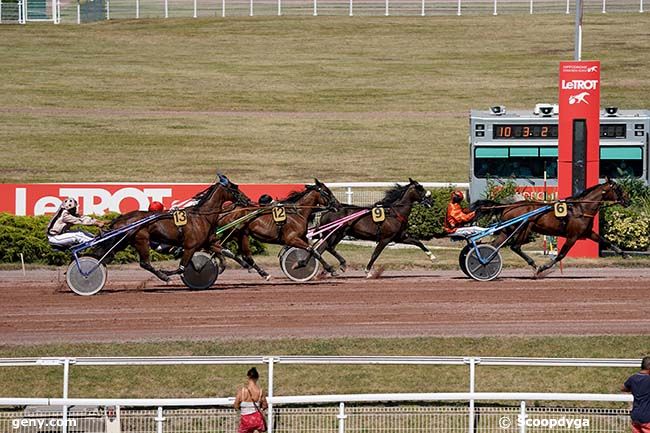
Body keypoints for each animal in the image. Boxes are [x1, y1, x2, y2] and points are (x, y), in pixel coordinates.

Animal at [96, 174, 246, 282]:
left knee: (107, 254)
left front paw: (244, 264)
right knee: (144, 263)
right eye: (235, 188)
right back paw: (163, 277)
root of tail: (120, 218)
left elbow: (227, 253)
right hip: (141, 240)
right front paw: (167, 273)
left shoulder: (208, 242)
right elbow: (181, 268)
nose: (247, 199)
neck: (202, 216)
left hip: (123, 242)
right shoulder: (190, 246)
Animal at [470, 178, 628, 274]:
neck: (581, 208)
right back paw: (533, 264)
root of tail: (507, 206)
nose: (628, 201)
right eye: (619, 189)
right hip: (524, 228)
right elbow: (561, 255)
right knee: (515, 247)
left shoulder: (587, 233)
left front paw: (623, 254)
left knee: (494, 246)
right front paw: (544, 267)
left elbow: (605, 241)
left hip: (507, 230)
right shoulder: (573, 236)